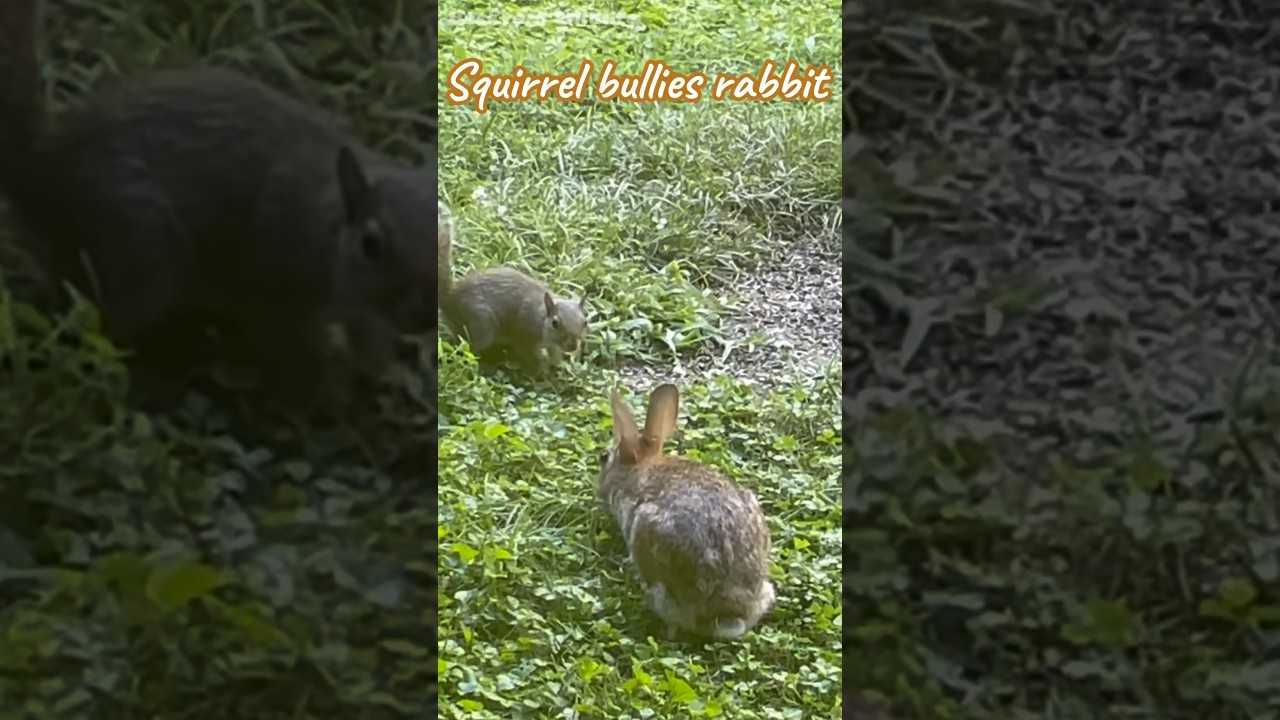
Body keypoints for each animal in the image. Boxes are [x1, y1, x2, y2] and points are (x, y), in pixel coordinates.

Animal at [0, 0, 437, 410]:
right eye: (370, 245)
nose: (427, 313)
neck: (325, 224)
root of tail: (43, 167)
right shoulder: (273, 281)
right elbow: (287, 348)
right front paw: (327, 392)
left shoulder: (364, 316)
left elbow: (370, 344)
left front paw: (382, 375)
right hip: (140, 248)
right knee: (98, 321)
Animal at [437, 217, 587, 375]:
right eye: (555, 323)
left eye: (585, 322)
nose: (573, 345)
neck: (540, 317)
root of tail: (451, 298)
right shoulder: (524, 336)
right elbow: (530, 357)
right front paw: (542, 371)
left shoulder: (554, 346)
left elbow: (555, 355)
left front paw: (559, 367)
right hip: (481, 324)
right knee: (466, 348)